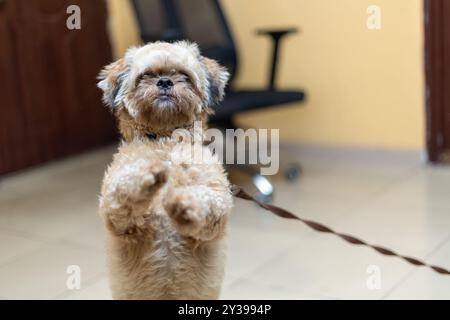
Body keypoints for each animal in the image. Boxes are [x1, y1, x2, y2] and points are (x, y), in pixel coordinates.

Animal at [97, 41, 234, 298]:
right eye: (145, 76)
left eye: (184, 76)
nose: (164, 82)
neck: (165, 140)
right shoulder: (118, 219)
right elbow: (123, 190)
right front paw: (145, 174)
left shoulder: (217, 210)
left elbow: (206, 201)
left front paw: (184, 203)